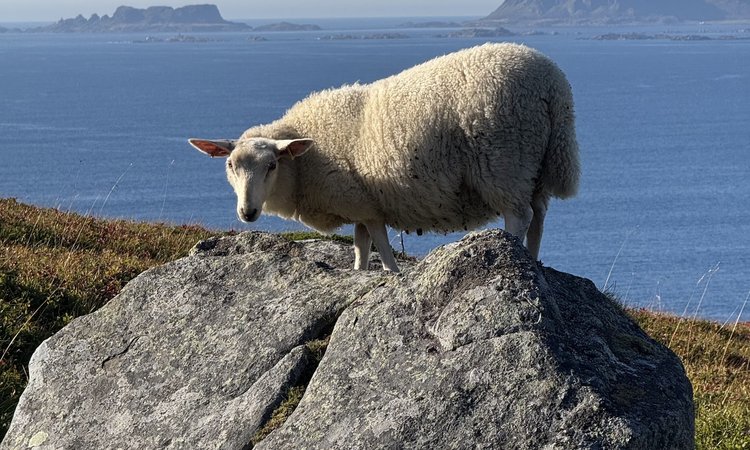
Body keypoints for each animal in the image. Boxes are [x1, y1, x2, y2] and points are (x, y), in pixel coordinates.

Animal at [189, 42, 580, 272]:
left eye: (271, 166)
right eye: (230, 166)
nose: (247, 213)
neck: (302, 162)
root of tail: (553, 85)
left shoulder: (368, 206)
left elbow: (383, 251)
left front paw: (389, 275)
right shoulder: (360, 205)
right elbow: (361, 248)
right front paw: (360, 273)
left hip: (505, 162)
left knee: (519, 216)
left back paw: (512, 251)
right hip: (535, 165)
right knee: (539, 217)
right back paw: (533, 261)